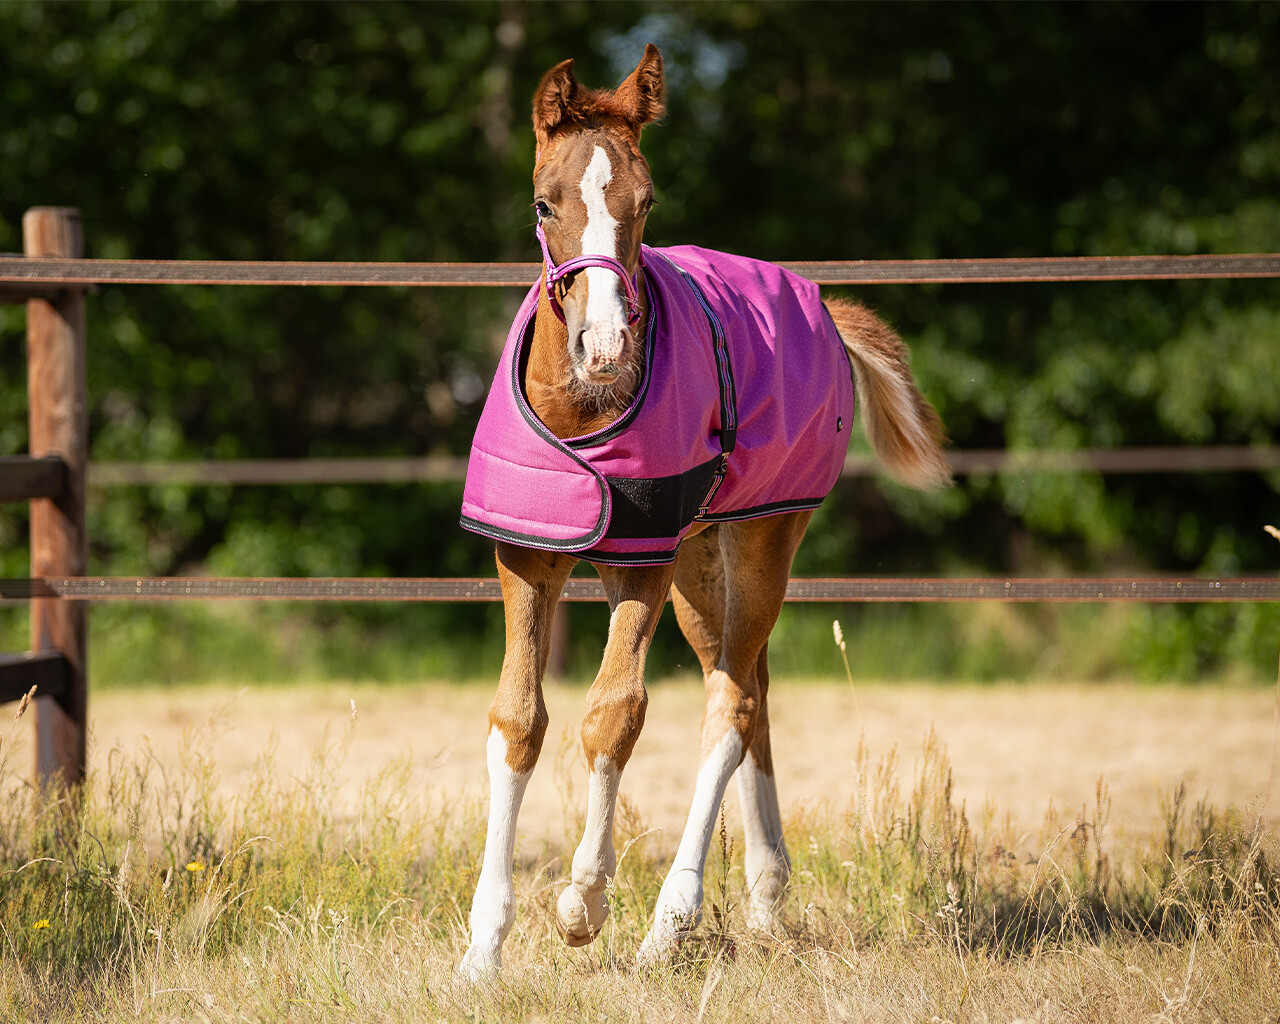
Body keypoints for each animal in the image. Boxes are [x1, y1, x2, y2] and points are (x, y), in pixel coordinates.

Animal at [455, 46, 947, 977]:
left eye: (646, 203)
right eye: (544, 203)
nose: (605, 349)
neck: (582, 413)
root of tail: (820, 304)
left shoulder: (640, 556)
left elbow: (613, 712)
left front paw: (584, 902)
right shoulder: (529, 556)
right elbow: (517, 720)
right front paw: (482, 951)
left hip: (760, 537)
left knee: (731, 706)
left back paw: (670, 921)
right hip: (699, 558)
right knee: (748, 679)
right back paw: (764, 894)